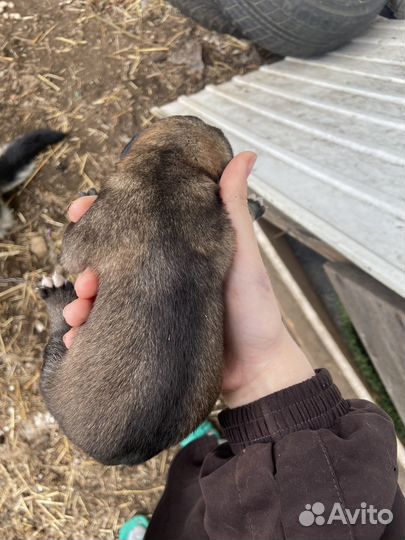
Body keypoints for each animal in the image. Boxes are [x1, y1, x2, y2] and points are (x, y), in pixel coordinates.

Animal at [40, 117, 262, 464]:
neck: (168, 165)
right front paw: (252, 206)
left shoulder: (88, 232)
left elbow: (71, 247)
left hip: (53, 375)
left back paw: (57, 295)